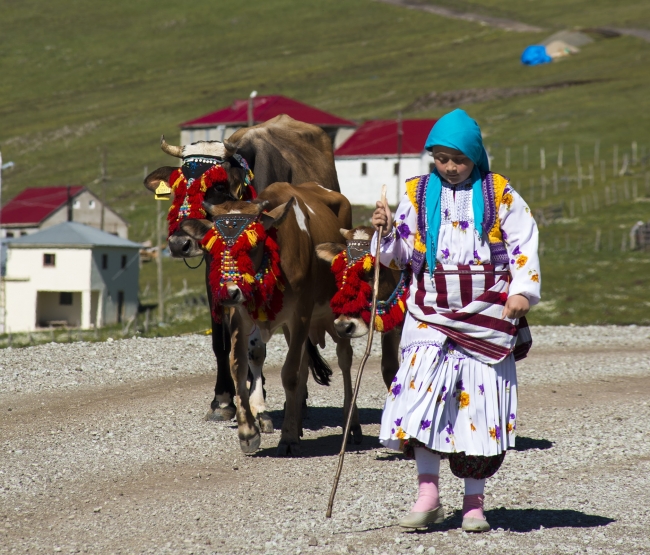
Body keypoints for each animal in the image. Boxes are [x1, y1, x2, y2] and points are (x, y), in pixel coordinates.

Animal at [180, 182, 360, 456]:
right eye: (213, 248)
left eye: (252, 245)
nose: (228, 292)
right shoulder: (241, 315)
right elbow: (238, 367)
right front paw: (248, 433)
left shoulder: (301, 313)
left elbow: (290, 373)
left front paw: (287, 438)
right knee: (305, 362)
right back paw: (297, 423)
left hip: (335, 314)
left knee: (344, 359)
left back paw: (351, 425)